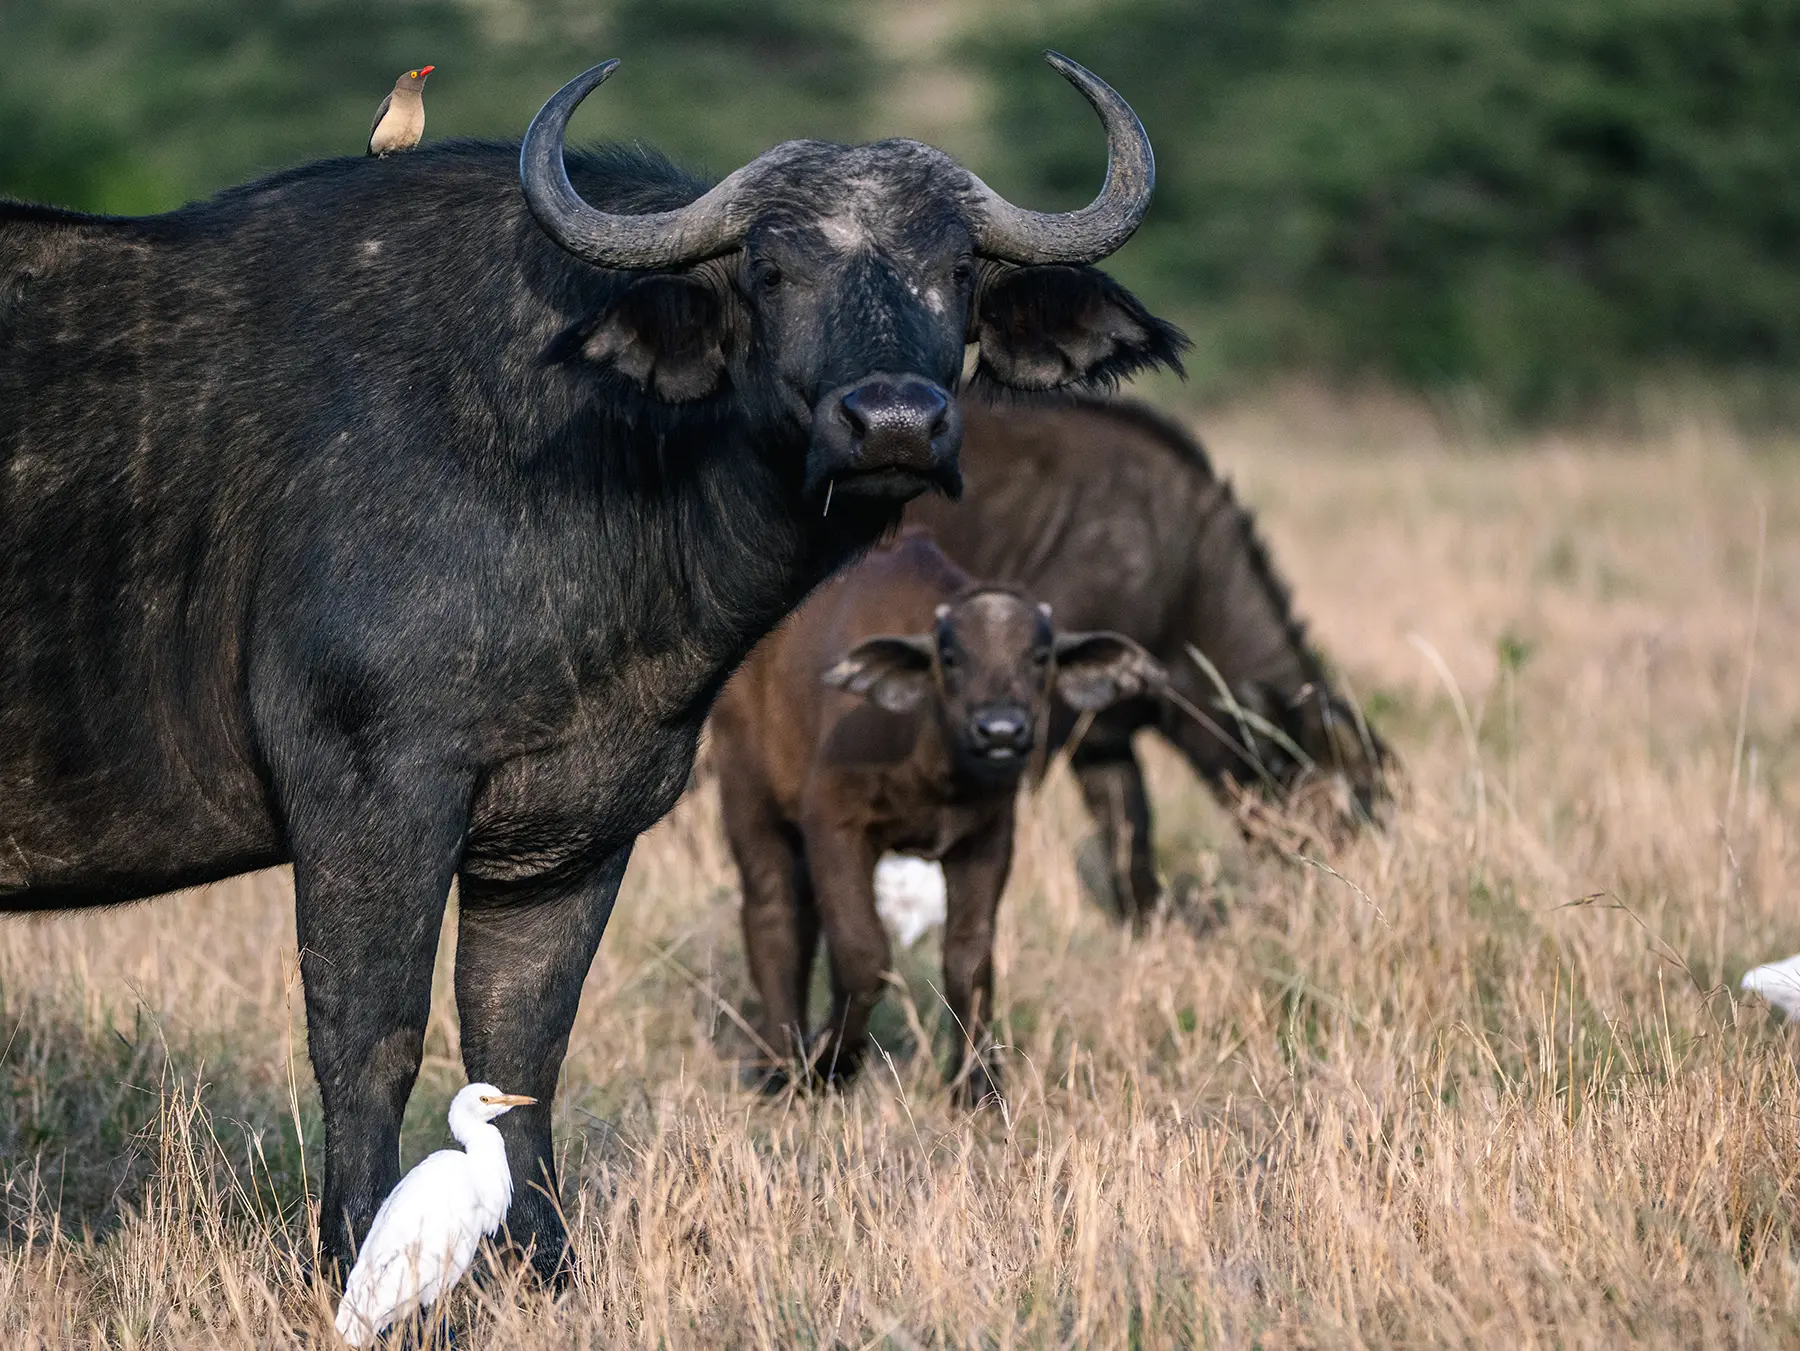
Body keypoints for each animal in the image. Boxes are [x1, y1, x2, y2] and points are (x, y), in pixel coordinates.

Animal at [711, 532, 1161, 1104]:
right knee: (771, 911)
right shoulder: (833, 824)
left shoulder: (988, 838)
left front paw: (978, 1085)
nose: (1000, 731)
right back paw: (777, 1065)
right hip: (746, 792)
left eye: (1040, 657)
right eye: (951, 657)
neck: (934, 763)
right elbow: (863, 952)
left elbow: (969, 957)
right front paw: (832, 1063)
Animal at [909, 396, 1389, 926]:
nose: (1357, 898)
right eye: (1343, 814)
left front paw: (1149, 921)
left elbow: (1127, 825)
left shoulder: (1104, 738)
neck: (1176, 566)